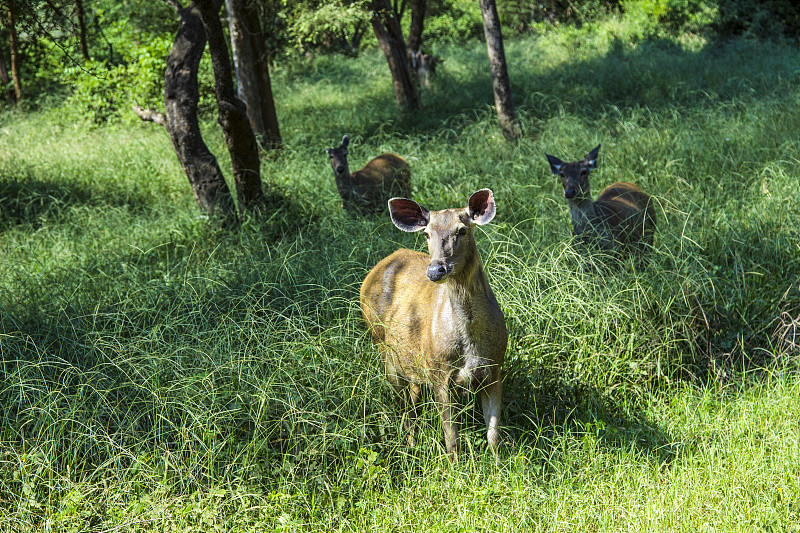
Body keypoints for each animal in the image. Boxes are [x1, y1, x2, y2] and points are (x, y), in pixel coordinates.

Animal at [360, 187, 506, 458]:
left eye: (462, 230)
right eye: (426, 233)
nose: (436, 270)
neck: (471, 342)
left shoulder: (495, 367)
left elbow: (494, 435)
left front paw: (499, 463)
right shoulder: (439, 371)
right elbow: (451, 437)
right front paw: (455, 465)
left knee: (413, 397)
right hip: (383, 349)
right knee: (405, 409)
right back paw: (410, 446)